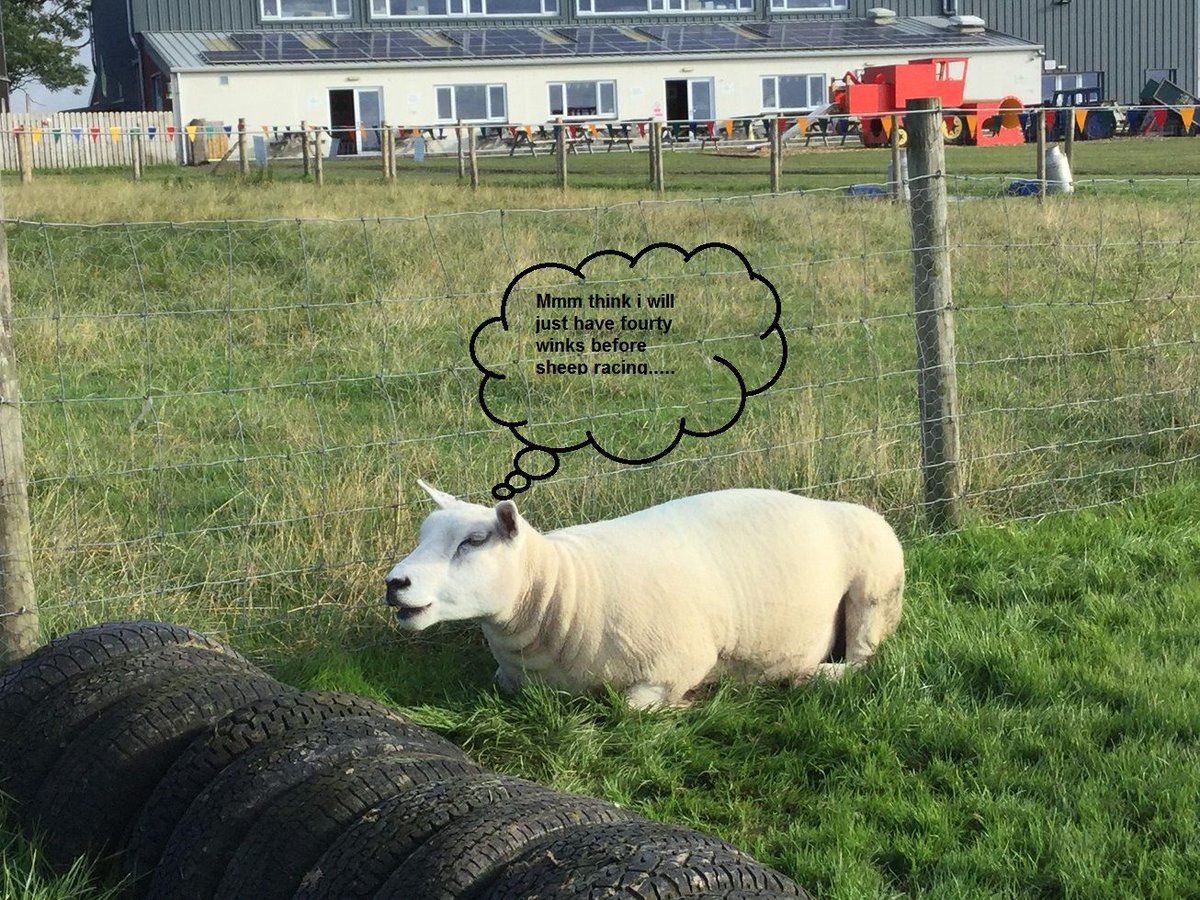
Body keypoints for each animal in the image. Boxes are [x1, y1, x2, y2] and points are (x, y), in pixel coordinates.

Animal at [384, 481, 905, 709]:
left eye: (473, 541)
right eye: (424, 532)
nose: (395, 583)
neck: (563, 589)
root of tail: (837, 504)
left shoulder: (677, 663)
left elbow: (630, 708)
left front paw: (688, 703)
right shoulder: (509, 678)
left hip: (876, 593)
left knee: (862, 659)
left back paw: (815, 676)